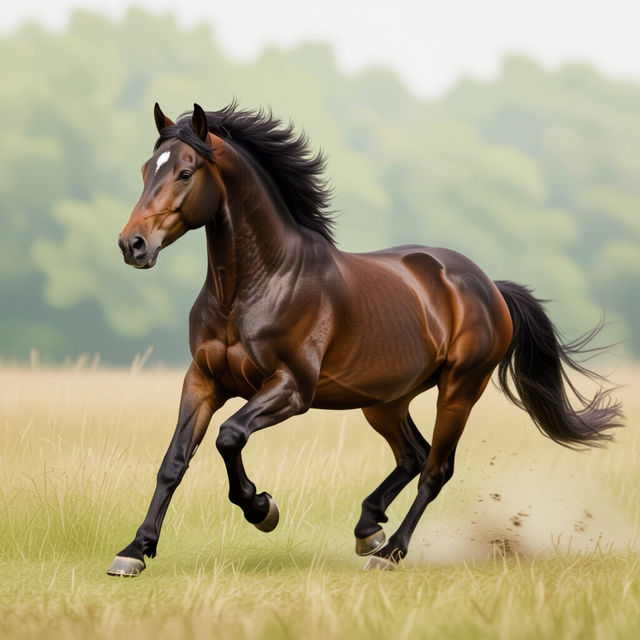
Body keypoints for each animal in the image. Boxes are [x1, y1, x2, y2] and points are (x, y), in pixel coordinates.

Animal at [108, 103, 623, 576]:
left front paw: (262, 508)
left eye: (185, 172)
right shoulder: (203, 381)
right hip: (384, 400)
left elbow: (229, 436)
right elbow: (175, 460)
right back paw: (367, 529)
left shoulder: (291, 389)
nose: (132, 245)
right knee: (413, 455)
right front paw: (134, 551)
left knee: (436, 469)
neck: (252, 289)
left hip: (459, 389)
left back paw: (390, 550)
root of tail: (489, 286)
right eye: (145, 170)